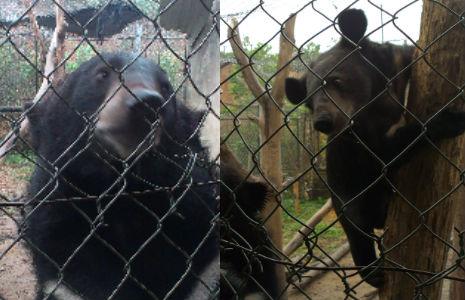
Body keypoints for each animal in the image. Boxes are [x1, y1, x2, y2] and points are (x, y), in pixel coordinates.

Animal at [284, 8, 464, 286]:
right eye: (309, 102)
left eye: (336, 81)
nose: (322, 122)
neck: (375, 96)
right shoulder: (356, 142)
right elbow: (383, 154)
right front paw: (446, 120)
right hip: (346, 191)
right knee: (356, 226)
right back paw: (373, 270)